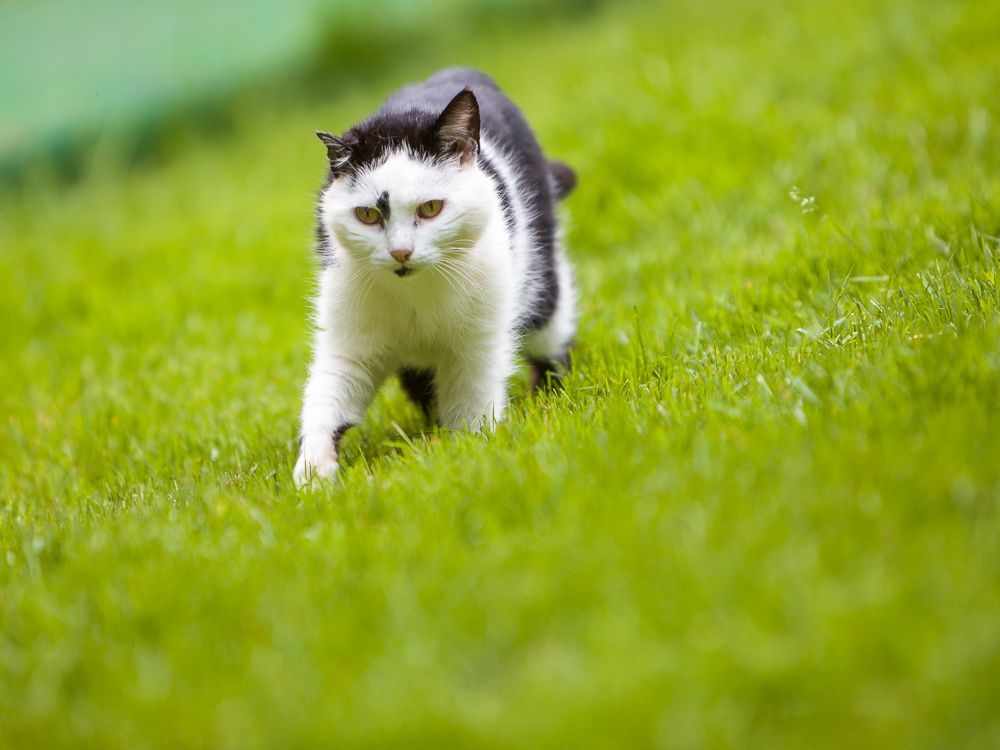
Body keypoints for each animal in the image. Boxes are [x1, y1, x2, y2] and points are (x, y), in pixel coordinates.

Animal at [294, 66, 580, 488]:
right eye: (367, 215)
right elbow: (327, 397)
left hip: (541, 285)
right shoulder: (349, 341)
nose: (401, 252)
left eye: (431, 208)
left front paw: (468, 454)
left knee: (551, 339)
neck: (417, 294)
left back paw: (549, 394)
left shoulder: (478, 345)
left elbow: (472, 407)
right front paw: (313, 475)